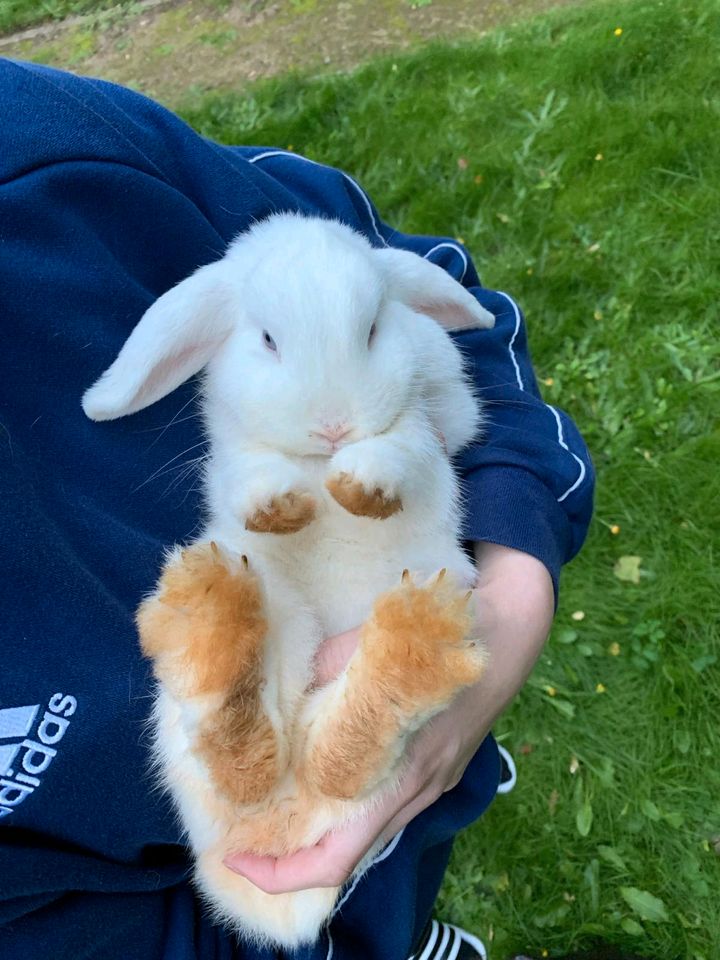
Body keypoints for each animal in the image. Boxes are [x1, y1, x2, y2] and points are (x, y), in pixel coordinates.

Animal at [79, 214, 496, 948]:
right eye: (268, 340)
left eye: (373, 329)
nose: (332, 427)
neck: (317, 466)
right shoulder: (229, 461)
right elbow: (246, 473)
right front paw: (280, 507)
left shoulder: (435, 424)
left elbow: (407, 448)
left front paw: (362, 487)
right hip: (269, 640)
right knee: (250, 763)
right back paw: (210, 614)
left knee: (338, 762)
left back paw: (415, 644)